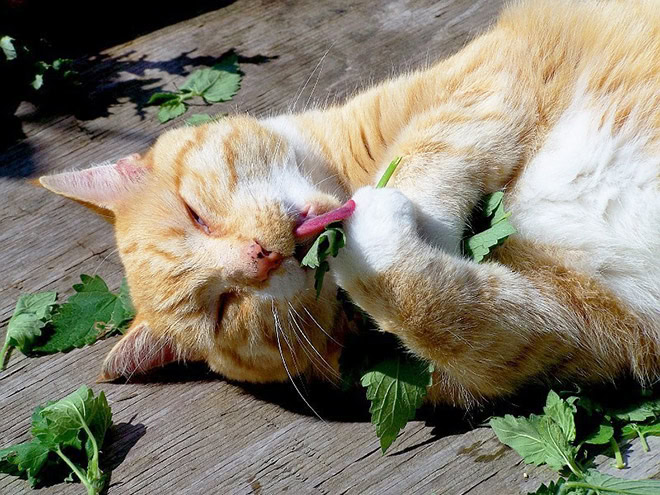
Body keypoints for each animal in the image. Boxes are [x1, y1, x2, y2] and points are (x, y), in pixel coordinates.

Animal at [37, 0, 660, 408]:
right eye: (224, 308)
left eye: (197, 214)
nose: (260, 255)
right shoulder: (583, 332)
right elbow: (449, 315)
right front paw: (372, 248)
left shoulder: (493, 75)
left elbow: (427, 152)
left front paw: (391, 213)